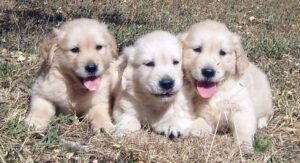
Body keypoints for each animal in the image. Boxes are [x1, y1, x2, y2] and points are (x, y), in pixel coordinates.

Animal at [179, 20, 274, 148]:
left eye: (222, 52)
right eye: (197, 49)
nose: (208, 72)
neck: (215, 93)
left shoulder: (241, 108)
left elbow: (243, 127)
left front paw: (244, 145)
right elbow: (197, 123)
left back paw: (262, 122)